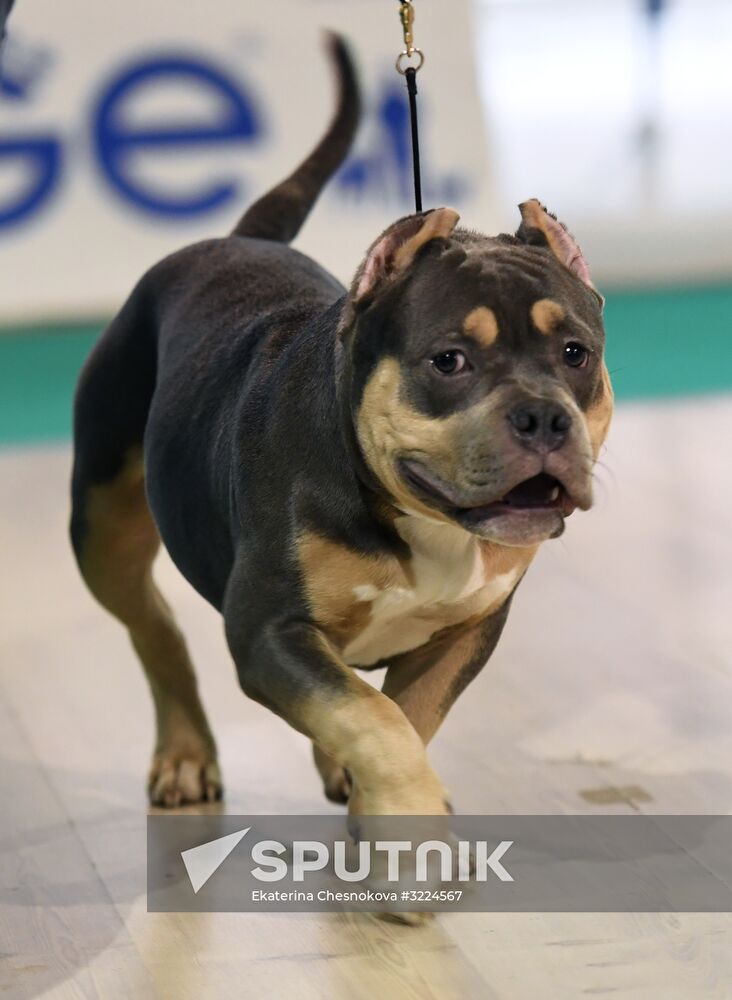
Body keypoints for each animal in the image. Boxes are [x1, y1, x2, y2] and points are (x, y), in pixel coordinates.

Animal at [73, 37, 612, 820]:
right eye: (448, 360)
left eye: (575, 353)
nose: (543, 417)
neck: (412, 515)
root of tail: (236, 240)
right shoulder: (268, 629)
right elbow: (371, 719)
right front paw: (408, 817)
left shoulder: (462, 635)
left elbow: (398, 720)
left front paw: (389, 817)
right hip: (101, 530)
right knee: (155, 629)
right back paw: (184, 754)